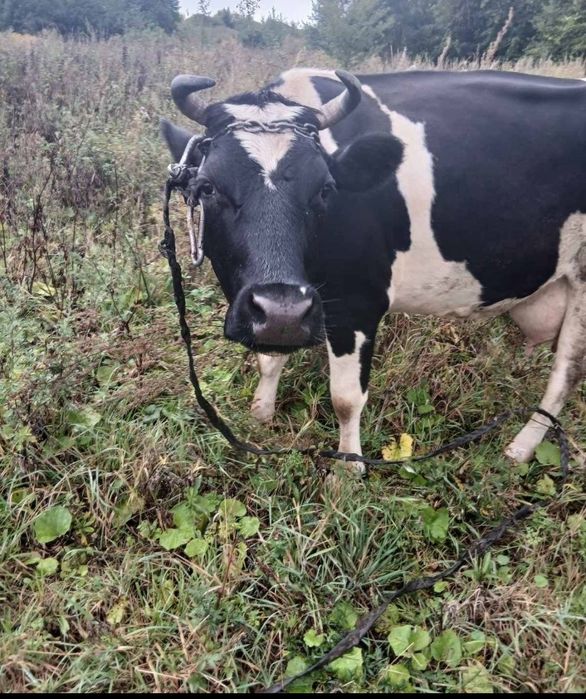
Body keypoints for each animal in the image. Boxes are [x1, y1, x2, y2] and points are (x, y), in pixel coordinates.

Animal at [161, 68, 586, 472]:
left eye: (326, 189)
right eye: (208, 187)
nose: (282, 312)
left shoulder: (358, 303)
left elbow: (346, 398)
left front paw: (349, 469)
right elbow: (269, 358)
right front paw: (260, 414)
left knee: (566, 374)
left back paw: (521, 446)